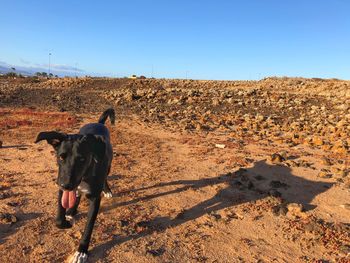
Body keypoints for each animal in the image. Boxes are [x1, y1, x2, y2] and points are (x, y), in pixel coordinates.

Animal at [35, 108, 115, 262]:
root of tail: (99, 123)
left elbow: (88, 227)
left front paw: (81, 251)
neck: (84, 177)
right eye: (61, 157)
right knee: (76, 195)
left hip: (108, 165)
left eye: (82, 159)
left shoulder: (95, 199)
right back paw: (72, 210)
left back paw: (106, 190)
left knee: (105, 178)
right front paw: (67, 219)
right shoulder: (61, 186)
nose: (66, 185)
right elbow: (59, 218)